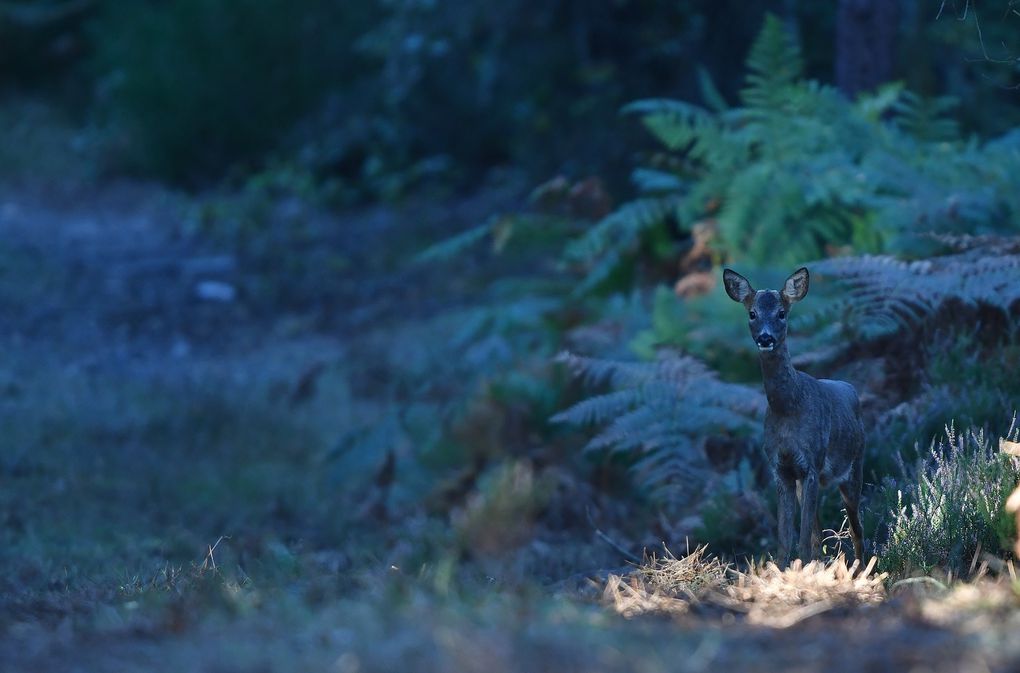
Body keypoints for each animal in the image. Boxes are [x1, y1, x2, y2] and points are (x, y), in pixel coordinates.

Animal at [722, 265, 864, 566]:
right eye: (752, 313)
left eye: (781, 313)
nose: (765, 338)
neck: (789, 408)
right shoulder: (781, 468)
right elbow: (785, 539)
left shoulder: (812, 461)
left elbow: (802, 539)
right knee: (820, 532)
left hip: (854, 466)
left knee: (856, 527)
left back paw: (861, 568)